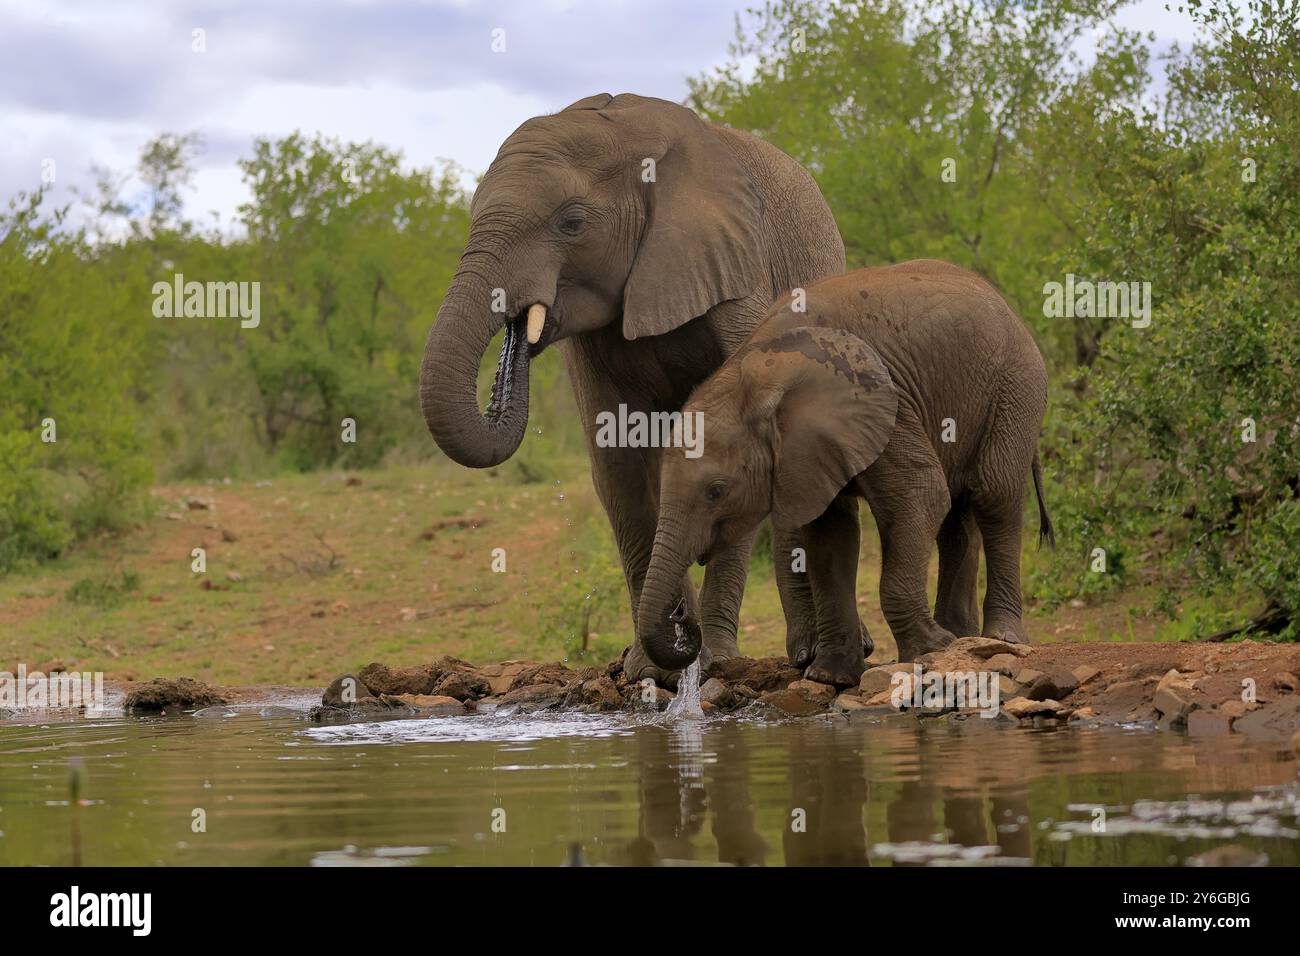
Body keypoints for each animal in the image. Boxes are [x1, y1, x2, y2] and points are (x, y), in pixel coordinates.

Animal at [413, 93, 842, 686]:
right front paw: (649, 673)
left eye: (571, 222)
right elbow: (618, 457)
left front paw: (715, 663)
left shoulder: (735, 273)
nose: (520, 330)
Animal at [634, 257, 1050, 686]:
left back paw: (999, 637)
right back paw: (961, 635)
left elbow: (921, 495)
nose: (681, 616)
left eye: (716, 491)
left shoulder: (883, 403)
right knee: (957, 515)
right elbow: (829, 536)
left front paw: (930, 649)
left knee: (994, 496)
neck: (758, 368)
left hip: (1016, 385)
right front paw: (830, 676)